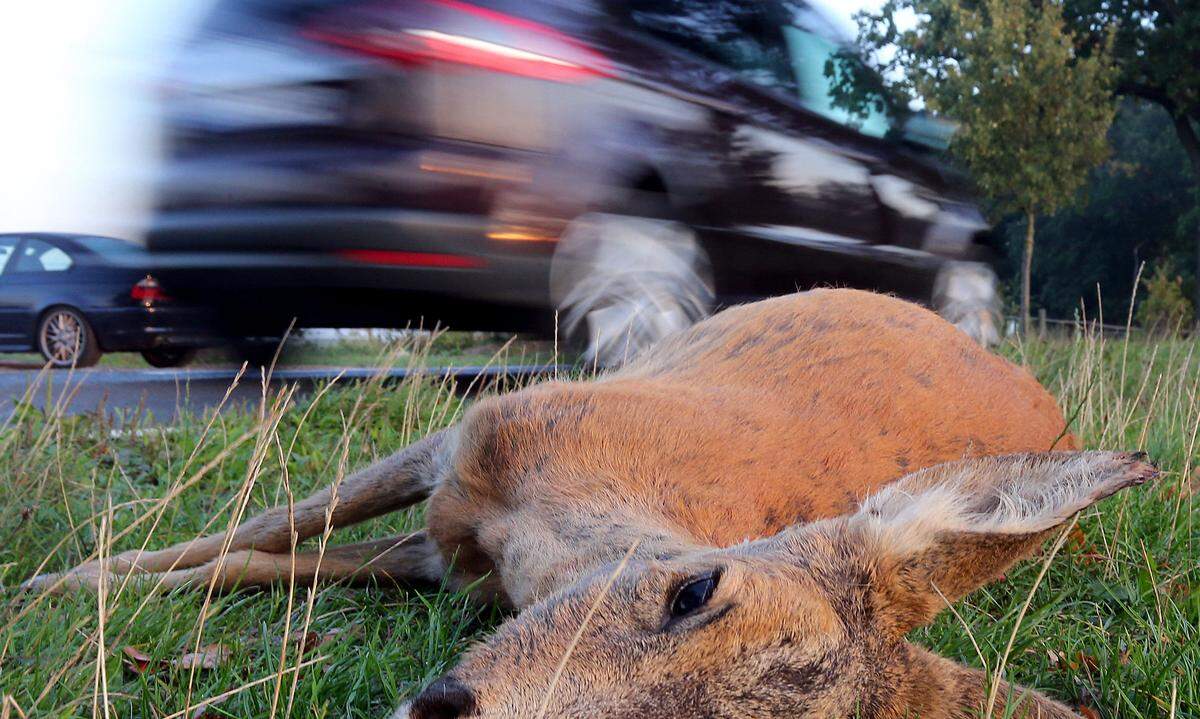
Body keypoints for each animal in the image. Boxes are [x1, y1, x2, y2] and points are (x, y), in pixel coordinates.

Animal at [28, 289, 1152, 715]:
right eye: (695, 587)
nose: (446, 706)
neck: (539, 532)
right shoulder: (468, 439)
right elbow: (260, 530)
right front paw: (72, 576)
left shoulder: (454, 562)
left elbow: (268, 558)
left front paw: (80, 582)